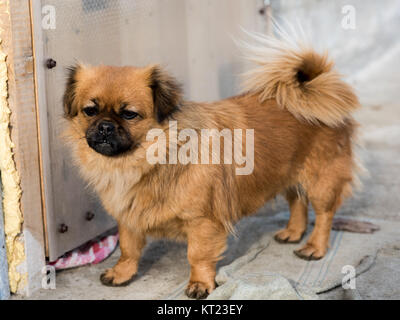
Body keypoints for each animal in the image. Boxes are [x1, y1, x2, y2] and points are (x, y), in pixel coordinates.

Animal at [62, 31, 360, 298]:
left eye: (129, 114)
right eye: (90, 111)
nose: (105, 126)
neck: (145, 161)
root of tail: (313, 90)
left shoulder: (203, 221)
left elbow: (197, 255)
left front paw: (200, 284)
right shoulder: (128, 217)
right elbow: (128, 249)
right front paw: (122, 273)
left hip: (321, 181)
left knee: (323, 214)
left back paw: (314, 247)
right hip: (287, 174)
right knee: (297, 201)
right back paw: (293, 233)